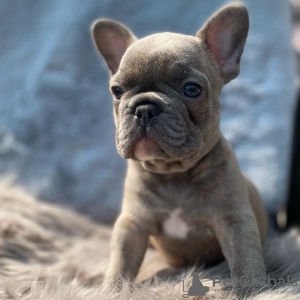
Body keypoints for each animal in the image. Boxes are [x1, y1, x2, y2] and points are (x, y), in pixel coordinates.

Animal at [92, 2, 268, 296]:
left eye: (192, 89)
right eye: (117, 91)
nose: (144, 108)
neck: (174, 173)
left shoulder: (235, 220)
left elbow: (246, 257)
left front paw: (254, 290)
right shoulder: (131, 225)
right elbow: (121, 262)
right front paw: (112, 290)